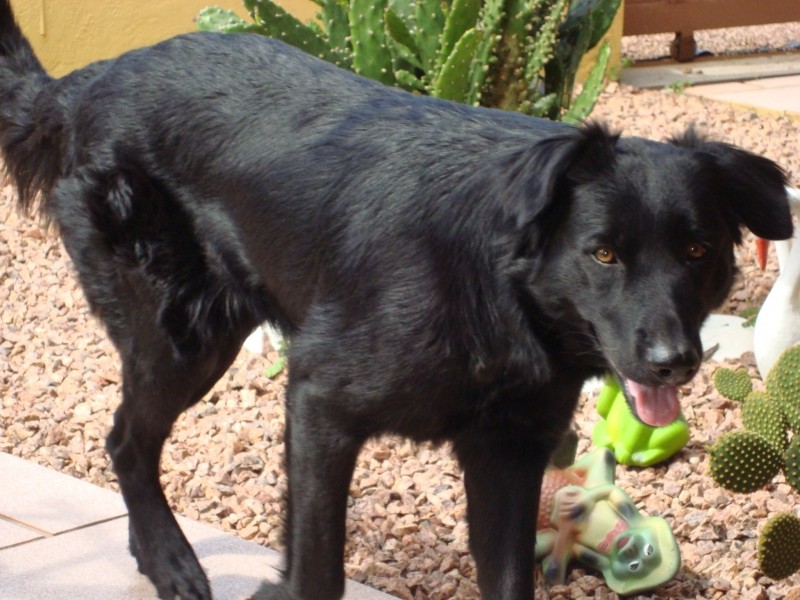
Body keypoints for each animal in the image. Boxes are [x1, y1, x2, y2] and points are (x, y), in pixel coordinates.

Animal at [0, 2, 792, 596]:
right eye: (603, 254)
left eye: (697, 252)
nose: (674, 362)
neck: (495, 287)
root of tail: (83, 85)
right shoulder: (319, 403)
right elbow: (317, 572)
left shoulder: (508, 451)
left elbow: (509, 579)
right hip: (183, 338)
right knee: (125, 439)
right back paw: (170, 562)